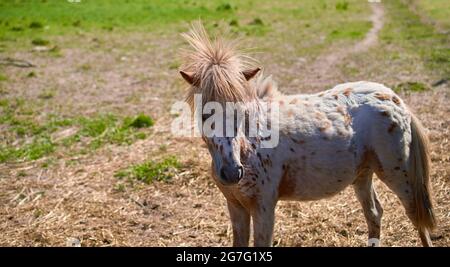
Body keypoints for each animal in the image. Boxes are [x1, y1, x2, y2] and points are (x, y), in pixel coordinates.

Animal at [178, 22, 434, 247]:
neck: (249, 147)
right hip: (362, 175)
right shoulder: (236, 207)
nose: (232, 173)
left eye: (241, 112)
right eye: (204, 114)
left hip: (398, 175)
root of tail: (395, 99)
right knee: (374, 213)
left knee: (416, 217)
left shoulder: (264, 208)